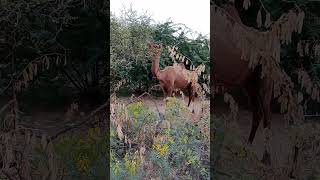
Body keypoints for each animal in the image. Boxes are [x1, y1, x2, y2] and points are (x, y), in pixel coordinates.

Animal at [212, 3, 272, 166]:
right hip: (249, 83)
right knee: (257, 111)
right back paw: (247, 149)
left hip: (264, 77)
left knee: (266, 113)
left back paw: (266, 159)